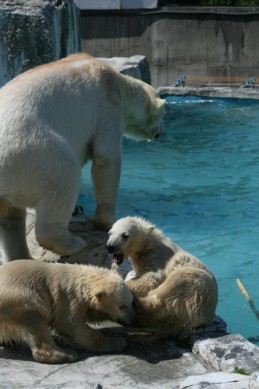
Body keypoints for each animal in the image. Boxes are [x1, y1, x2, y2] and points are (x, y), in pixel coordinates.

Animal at [0, 52, 167, 260]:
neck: (118, 83)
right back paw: (73, 244)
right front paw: (108, 220)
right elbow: (106, 158)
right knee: (64, 174)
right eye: (164, 115)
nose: (163, 132)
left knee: (10, 217)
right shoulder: (106, 105)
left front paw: (77, 208)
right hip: (31, 148)